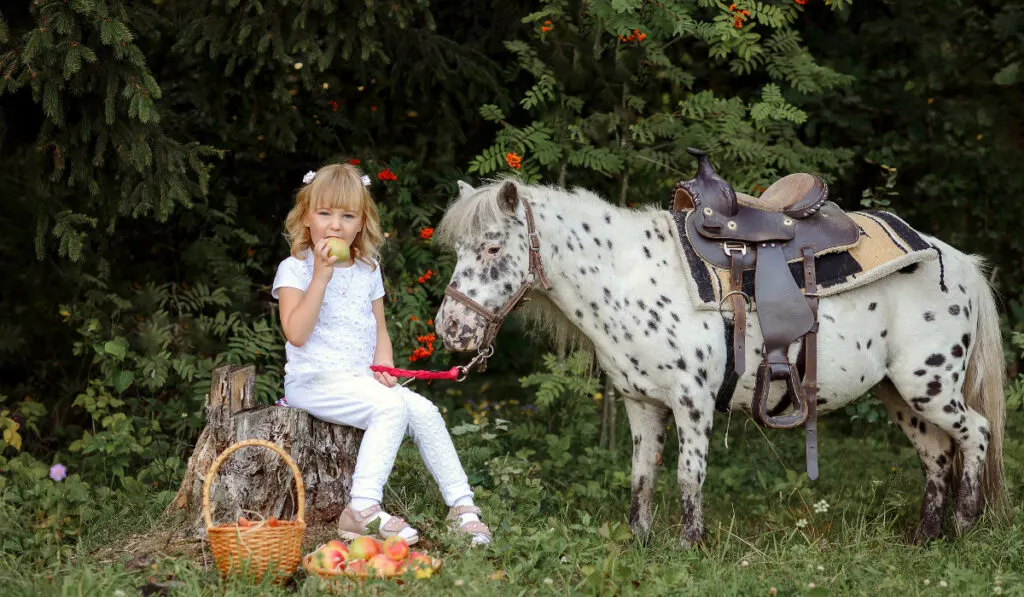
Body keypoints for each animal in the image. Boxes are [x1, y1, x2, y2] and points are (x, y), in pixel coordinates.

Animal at [432, 176, 1007, 544]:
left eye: (491, 248)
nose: (451, 329)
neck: (633, 279)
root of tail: (959, 261)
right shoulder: (641, 404)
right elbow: (641, 476)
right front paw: (641, 542)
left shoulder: (693, 402)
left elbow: (689, 476)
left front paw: (689, 546)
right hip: (899, 395)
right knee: (936, 456)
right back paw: (924, 536)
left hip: (929, 385)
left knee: (975, 434)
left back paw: (964, 526)